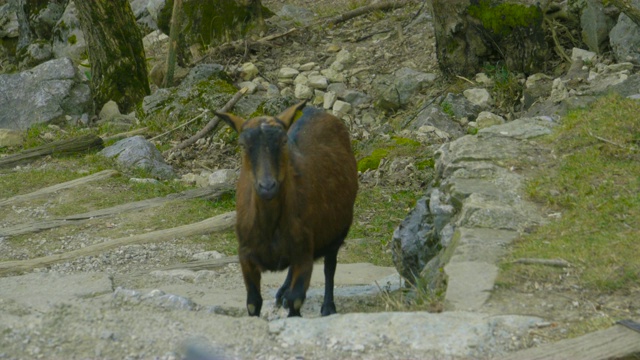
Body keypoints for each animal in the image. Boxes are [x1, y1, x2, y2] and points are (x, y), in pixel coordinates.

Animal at [216, 101, 358, 318]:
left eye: (284, 141)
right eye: (242, 145)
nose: (267, 186)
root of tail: (315, 111)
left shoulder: (304, 253)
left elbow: (296, 300)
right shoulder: (245, 255)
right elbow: (253, 303)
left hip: (337, 230)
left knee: (330, 266)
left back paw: (328, 307)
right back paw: (282, 293)